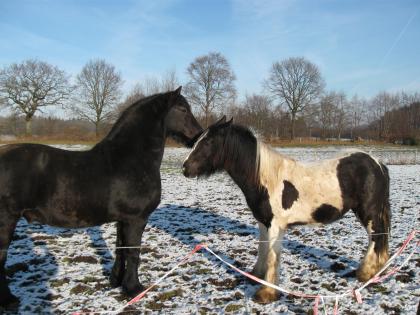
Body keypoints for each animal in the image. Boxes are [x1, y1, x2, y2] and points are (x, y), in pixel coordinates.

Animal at [0, 87, 203, 310]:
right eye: (182, 109)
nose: (198, 136)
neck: (129, 158)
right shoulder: (136, 218)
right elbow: (133, 252)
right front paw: (134, 289)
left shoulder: (123, 219)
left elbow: (120, 249)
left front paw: (116, 282)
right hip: (6, 220)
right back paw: (9, 300)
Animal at [184, 118, 390, 304]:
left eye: (208, 142)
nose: (185, 168)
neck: (266, 181)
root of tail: (377, 163)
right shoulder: (263, 222)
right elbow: (263, 249)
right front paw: (257, 276)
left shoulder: (275, 226)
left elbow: (272, 257)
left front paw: (266, 294)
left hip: (368, 212)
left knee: (376, 236)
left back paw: (365, 273)